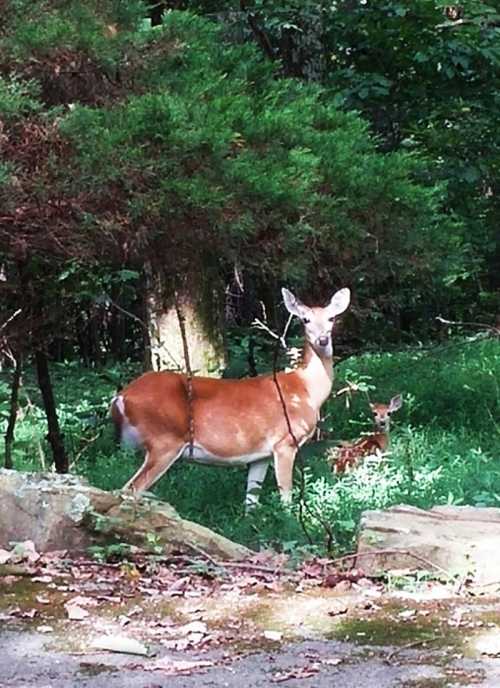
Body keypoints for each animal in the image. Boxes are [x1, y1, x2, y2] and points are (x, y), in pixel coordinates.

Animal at [111, 286, 350, 510]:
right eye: (305, 319)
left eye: (332, 318)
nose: (322, 339)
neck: (306, 389)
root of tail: (121, 397)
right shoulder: (286, 442)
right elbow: (286, 497)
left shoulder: (261, 454)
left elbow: (251, 502)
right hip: (164, 440)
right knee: (130, 488)